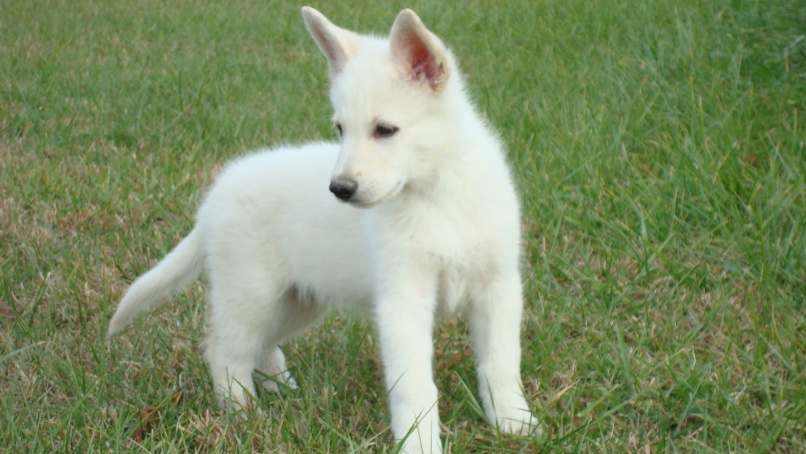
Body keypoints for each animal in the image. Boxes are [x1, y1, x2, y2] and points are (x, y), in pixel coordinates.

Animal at [105, 7, 536, 454]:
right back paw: (246, 416)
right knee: (225, 352)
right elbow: (414, 386)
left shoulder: (498, 287)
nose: (340, 189)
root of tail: (211, 203)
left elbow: (501, 364)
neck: (438, 195)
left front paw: (513, 424)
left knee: (261, 347)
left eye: (385, 130)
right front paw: (419, 442)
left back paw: (282, 390)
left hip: (296, 301)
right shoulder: (403, 300)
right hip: (251, 295)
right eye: (340, 129)